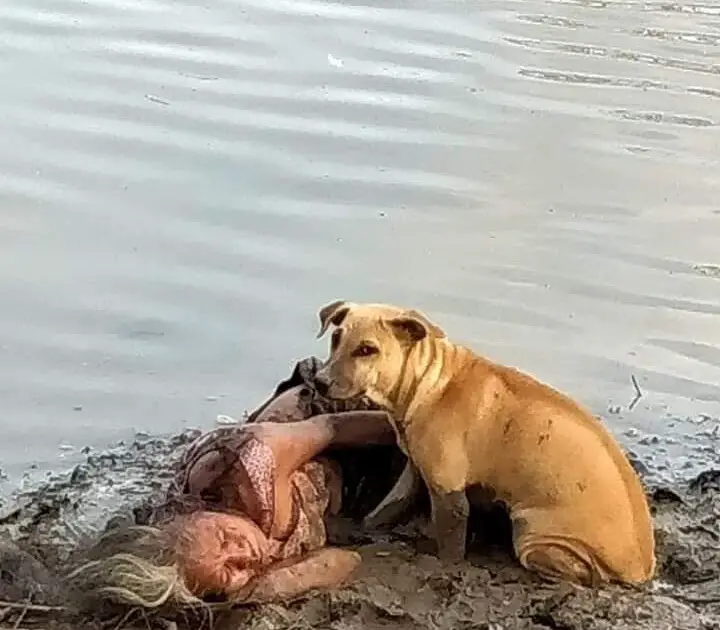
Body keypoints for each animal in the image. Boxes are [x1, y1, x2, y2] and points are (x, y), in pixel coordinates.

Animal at [312, 302, 656, 588]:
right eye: (336, 338)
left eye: (367, 349)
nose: (319, 381)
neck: (430, 383)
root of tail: (641, 569)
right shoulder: (415, 471)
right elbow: (385, 509)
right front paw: (362, 528)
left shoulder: (449, 493)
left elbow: (450, 545)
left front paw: (443, 566)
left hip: (534, 535)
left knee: (583, 573)